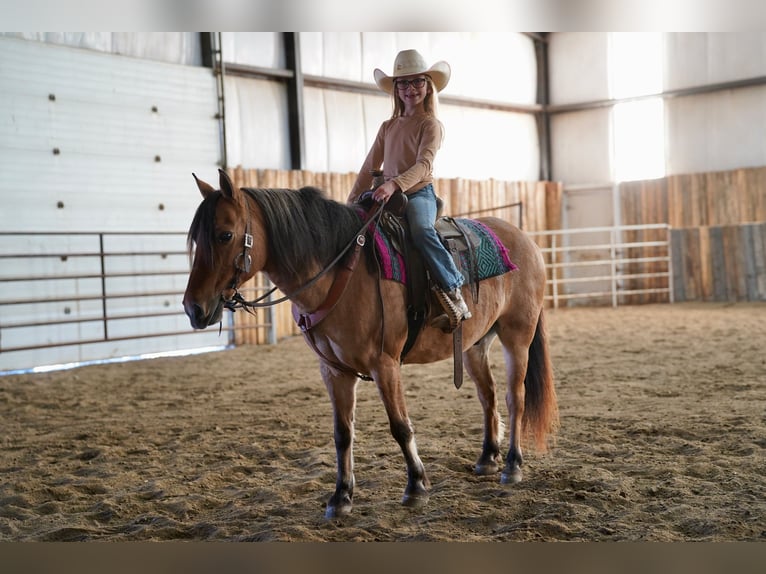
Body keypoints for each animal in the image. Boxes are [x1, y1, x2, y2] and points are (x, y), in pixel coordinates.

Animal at [183, 169, 559, 518]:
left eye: (225, 234)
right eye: (197, 238)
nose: (193, 308)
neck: (339, 275)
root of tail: (524, 240)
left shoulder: (385, 364)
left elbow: (400, 426)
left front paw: (416, 486)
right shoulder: (334, 371)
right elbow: (343, 433)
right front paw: (341, 497)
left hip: (518, 336)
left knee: (515, 397)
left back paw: (512, 465)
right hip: (474, 345)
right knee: (488, 396)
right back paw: (487, 458)